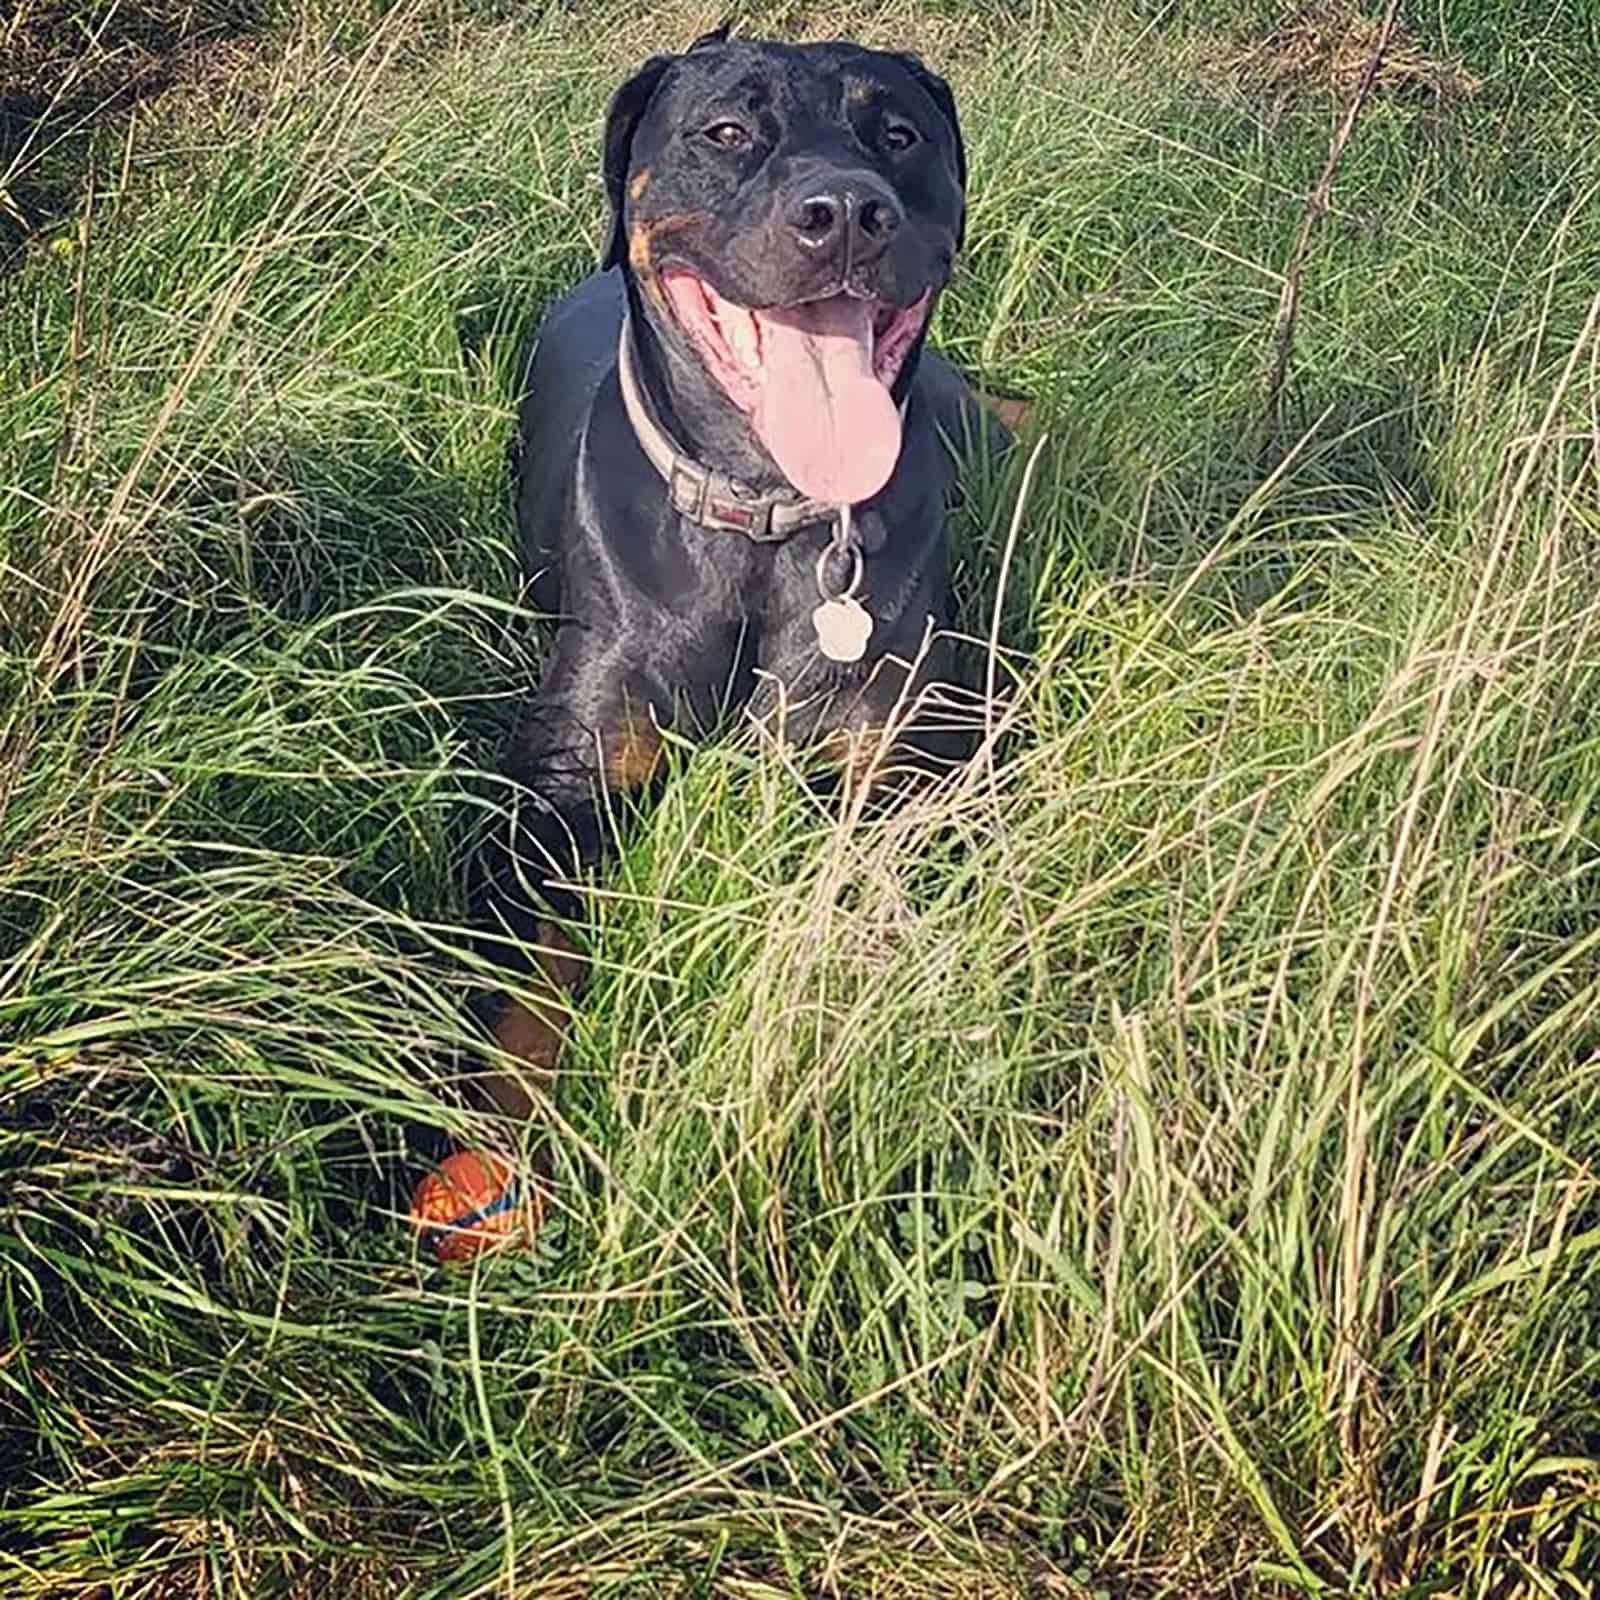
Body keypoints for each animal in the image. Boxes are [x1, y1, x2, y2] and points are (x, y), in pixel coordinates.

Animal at [467, 28, 1004, 1113]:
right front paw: (498, 1131)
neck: (765, 517)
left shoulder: (908, 762)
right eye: (725, 131)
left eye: (898, 133)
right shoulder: (564, 783)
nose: (846, 212)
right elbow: (528, 984)